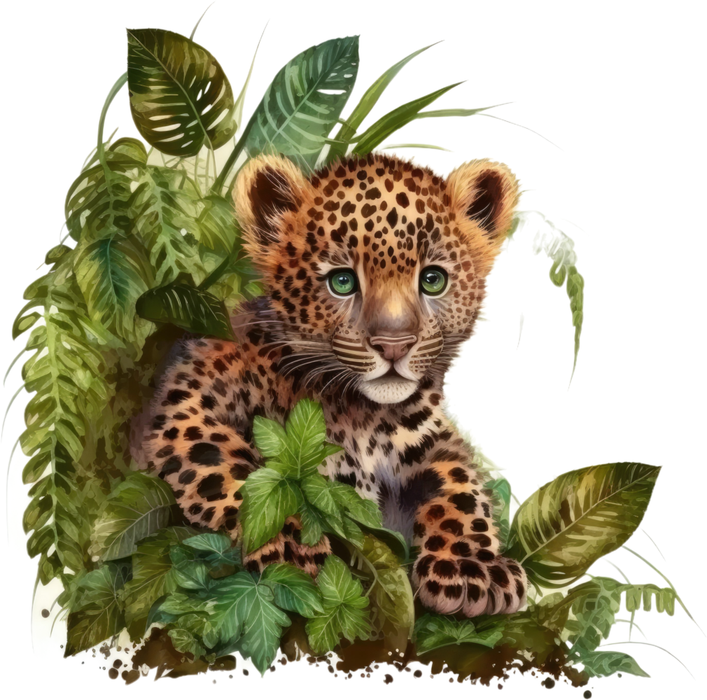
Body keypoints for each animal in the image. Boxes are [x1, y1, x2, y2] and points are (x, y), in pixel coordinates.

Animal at [140, 151, 528, 617]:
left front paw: (471, 569)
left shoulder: (432, 438)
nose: (394, 346)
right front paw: (292, 549)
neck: (362, 414)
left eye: (432, 279)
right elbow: (237, 473)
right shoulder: (186, 406)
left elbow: (459, 485)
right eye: (342, 281)